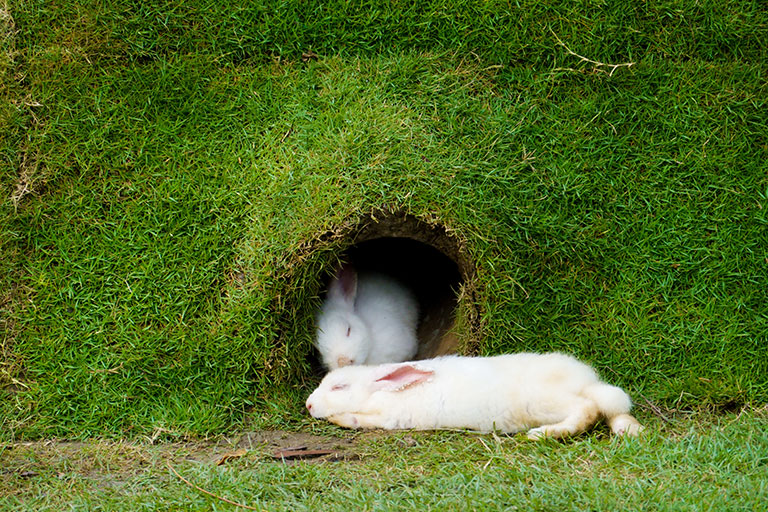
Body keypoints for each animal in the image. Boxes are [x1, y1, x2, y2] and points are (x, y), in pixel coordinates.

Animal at [306, 352, 640, 440]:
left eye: (339, 388)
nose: (308, 404)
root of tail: (585, 382)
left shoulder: (388, 416)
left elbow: (360, 419)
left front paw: (341, 418)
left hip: (546, 403)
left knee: (587, 410)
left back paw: (544, 434)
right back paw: (630, 430)